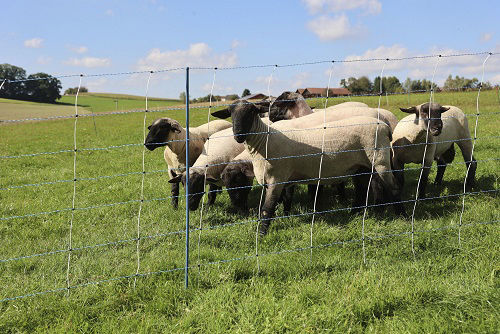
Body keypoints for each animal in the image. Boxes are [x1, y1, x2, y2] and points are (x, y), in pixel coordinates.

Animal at [211, 101, 402, 235]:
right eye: (230, 114)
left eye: (251, 112)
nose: (238, 135)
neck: (263, 142)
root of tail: (385, 126)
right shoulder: (281, 180)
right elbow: (282, 202)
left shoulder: (277, 178)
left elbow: (267, 209)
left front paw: (261, 234)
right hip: (361, 166)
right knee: (363, 189)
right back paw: (357, 213)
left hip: (380, 160)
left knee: (392, 187)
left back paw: (401, 216)